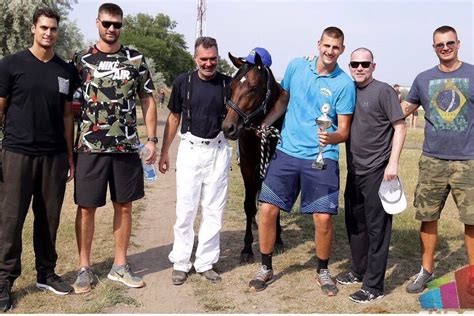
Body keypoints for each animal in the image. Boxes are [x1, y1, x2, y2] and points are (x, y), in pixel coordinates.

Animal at [223, 51, 286, 262]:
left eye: (253, 88)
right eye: (232, 86)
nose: (228, 128)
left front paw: (278, 240)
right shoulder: (248, 167)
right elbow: (249, 205)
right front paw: (247, 248)